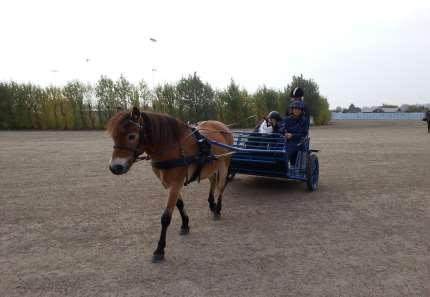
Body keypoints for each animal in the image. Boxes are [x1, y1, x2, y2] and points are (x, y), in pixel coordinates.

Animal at [106, 107, 233, 260]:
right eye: (114, 136)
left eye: (132, 136)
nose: (115, 167)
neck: (171, 148)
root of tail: (222, 125)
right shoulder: (170, 184)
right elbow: (180, 205)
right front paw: (185, 224)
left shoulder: (176, 183)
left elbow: (166, 217)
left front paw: (160, 249)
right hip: (211, 166)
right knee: (212, 180)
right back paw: (211, 203)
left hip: (224, 163)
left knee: (221, 186)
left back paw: (217, 209)